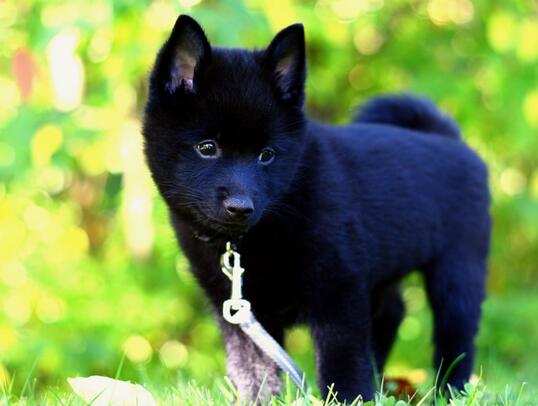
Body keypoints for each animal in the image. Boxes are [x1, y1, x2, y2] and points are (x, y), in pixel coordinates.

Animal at [142, 14, 490, 402]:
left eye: (267, 155)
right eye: (206, 148)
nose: (241, 207)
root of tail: (447, 137)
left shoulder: (338, 291)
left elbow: (342, 364)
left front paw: (351, 400)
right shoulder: (236, 307)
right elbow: (252, 369)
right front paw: (258, 399)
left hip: (458, 270)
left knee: (456, 337)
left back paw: (451, 392)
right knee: (392, 314)